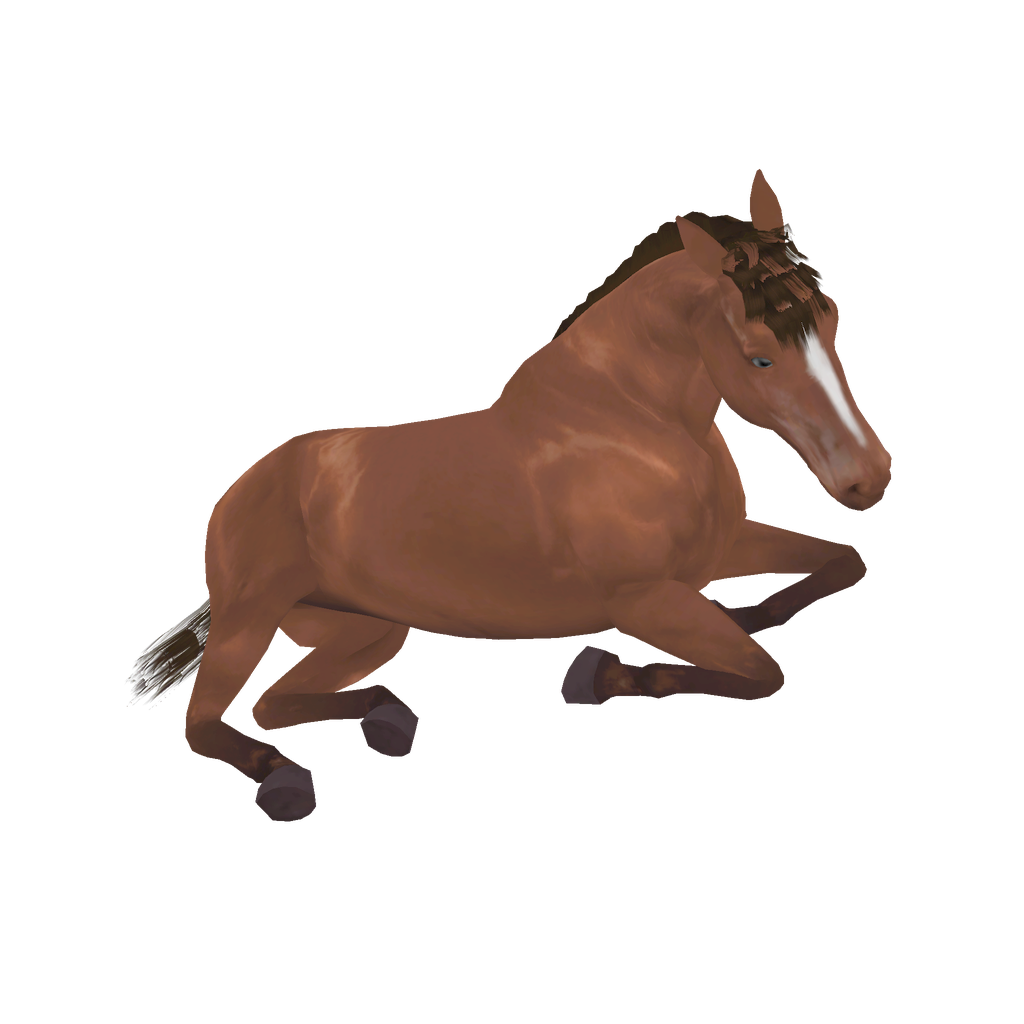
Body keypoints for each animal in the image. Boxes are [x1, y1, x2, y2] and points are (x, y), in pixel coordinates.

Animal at [134, 169, 891, 821]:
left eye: (831, 318)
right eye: (760, 354)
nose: (869, 477)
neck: (633, 419)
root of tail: (250, 483)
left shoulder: (720, 554)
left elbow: (840, 564)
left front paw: (748, 612)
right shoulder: (644, 599)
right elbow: (761, 673)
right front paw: (599, 675)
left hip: (371, 631)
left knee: (276, 702)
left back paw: (386, 718)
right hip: (248, 621)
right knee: (206, 723)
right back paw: (285, 780)